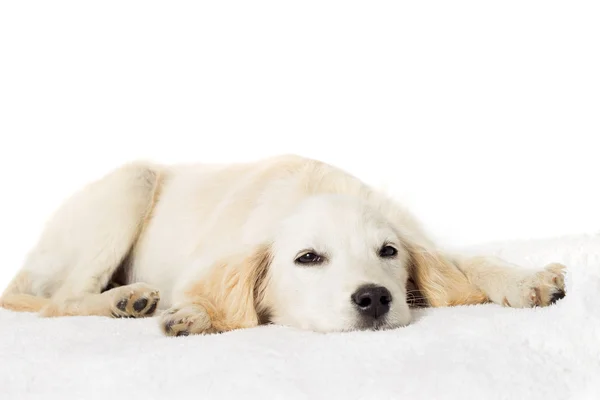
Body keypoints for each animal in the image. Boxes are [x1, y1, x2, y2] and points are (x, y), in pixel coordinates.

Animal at [0, 155, 568, 336]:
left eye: (388, 252)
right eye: (308, 258)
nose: (375, 299)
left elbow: (466, 260)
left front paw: (527, 279)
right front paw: (196, 315)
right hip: (131, 181)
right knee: (59, 302)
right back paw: (127, 299)